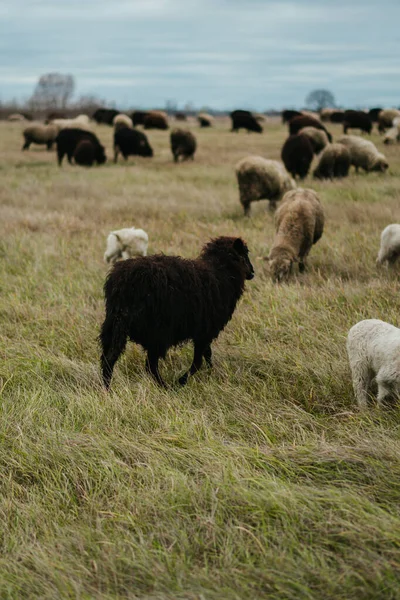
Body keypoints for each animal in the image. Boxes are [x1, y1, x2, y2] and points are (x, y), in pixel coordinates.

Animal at [101, 234, 255, 390]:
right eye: (244, 253)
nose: (252, 272)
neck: (221, 272)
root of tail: (120, 282)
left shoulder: (204, 331)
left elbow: (207, 355)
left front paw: (210, 373)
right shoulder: (204, 331)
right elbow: (198, 361)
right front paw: (182, 381)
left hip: (114, 325)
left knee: (109, 359)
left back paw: (107, 389)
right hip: (156, 332)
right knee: (149, 365)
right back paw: (165, 387)